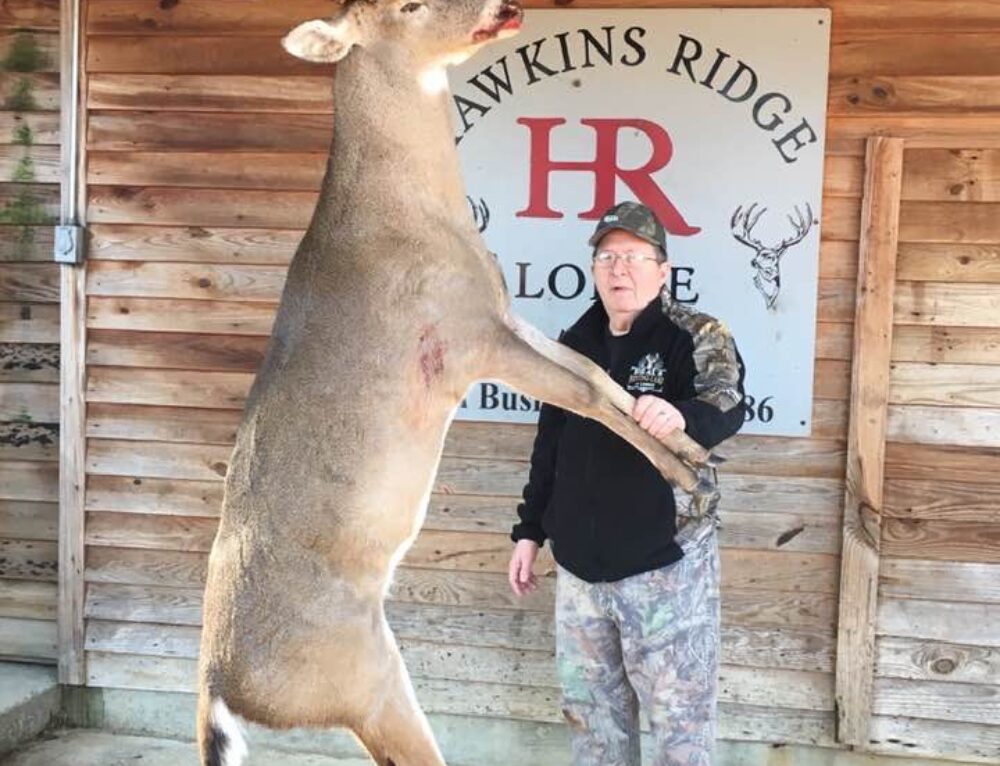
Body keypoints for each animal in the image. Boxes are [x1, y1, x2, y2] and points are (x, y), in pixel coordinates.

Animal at [197, 2, 723, 764]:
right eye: (408, 7)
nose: (504, 9)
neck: (415, 215)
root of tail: (215, 683)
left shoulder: (501, 316)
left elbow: (596, 374)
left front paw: (689, 448)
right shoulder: (463, 341)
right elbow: (585, 396)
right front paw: (685, 477)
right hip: (362, 680)